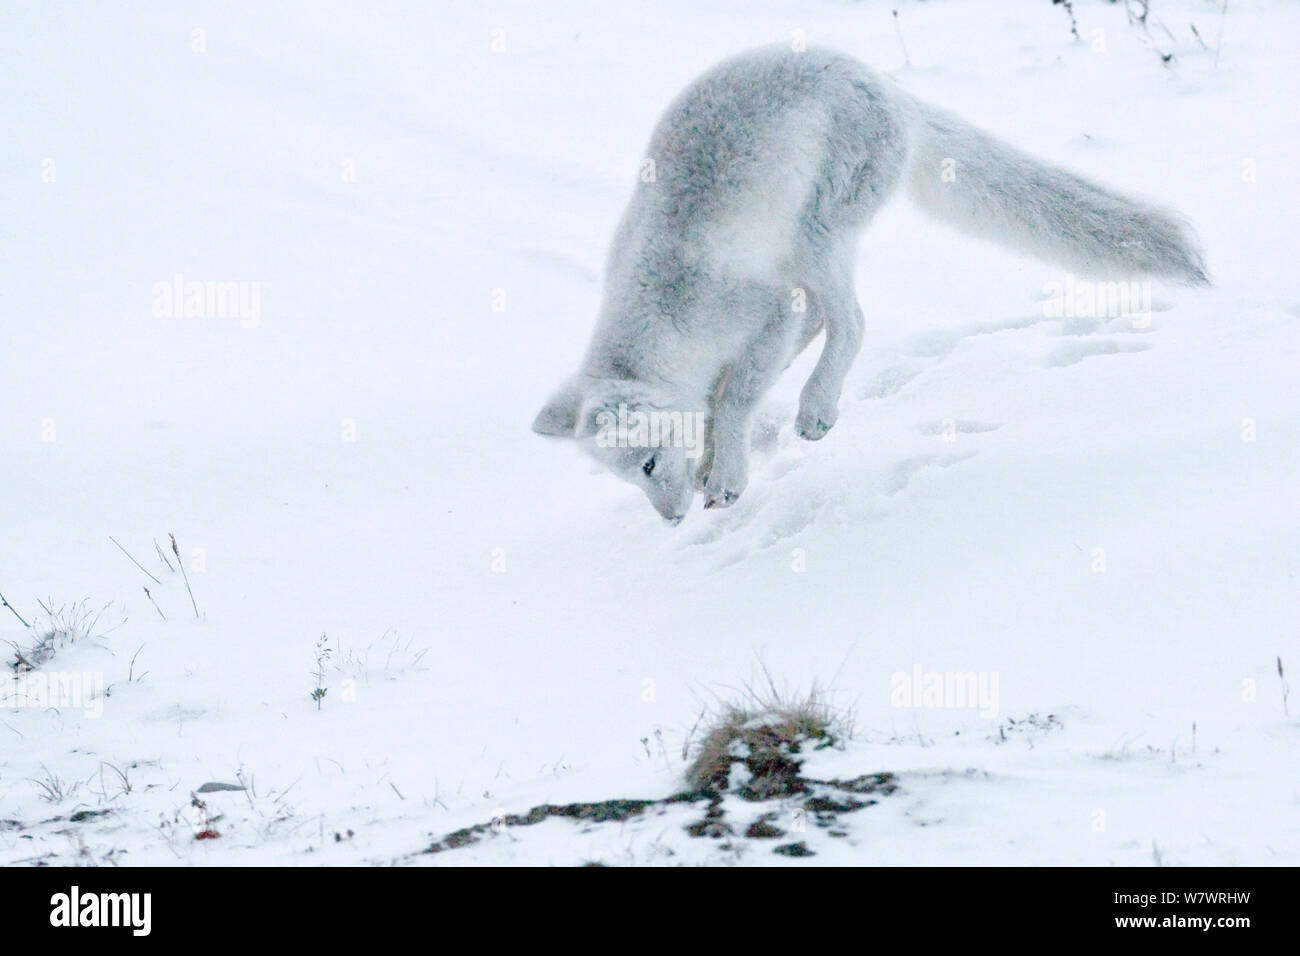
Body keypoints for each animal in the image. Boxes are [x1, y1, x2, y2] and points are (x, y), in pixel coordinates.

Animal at [530, 44, 1206, 522]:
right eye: (626, 476)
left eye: (647, 462)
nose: (671, 520)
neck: (665, 324)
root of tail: (880, 81)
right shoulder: (759, 320)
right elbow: (727, 397)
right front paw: (713, 463)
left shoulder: (760, 309)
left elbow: (736, 396)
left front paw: (725, 477)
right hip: (805, 251)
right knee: (823, 319)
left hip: (817, 235)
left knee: (850, 321)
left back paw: (816, 408)